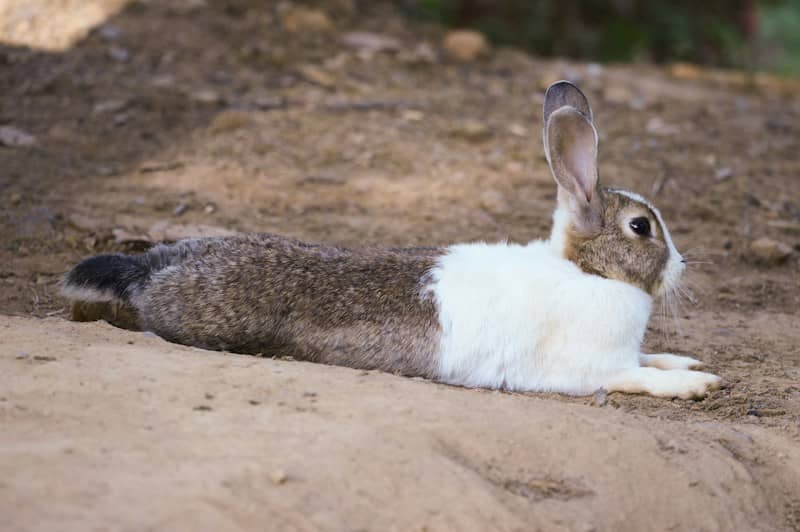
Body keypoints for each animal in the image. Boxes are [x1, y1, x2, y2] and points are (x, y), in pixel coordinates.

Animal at [61, 81, 721, 399]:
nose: (683, 265)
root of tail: (154, 271)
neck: (586, 272)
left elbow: (650, 357)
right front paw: (696, 384)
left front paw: (688, 361)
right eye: (641, 227)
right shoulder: (592, 367)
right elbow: (637, 376)